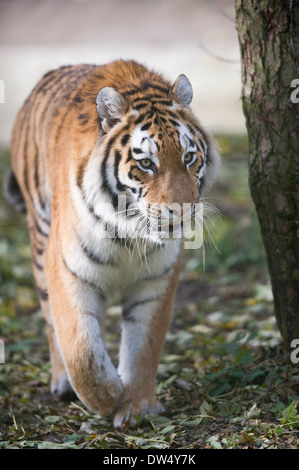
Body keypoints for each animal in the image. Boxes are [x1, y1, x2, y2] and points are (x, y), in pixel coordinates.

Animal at [4, 57, 220, 426]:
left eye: (189, 158)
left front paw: (138, 405)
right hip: (40, 238)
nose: (182, 211)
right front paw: (108, 398)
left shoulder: (156, 279)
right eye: (146, 163)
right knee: (50, 321)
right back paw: (62, 383)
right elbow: (81, 349)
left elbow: (145, 344)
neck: (129, 232)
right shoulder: (67, 269)